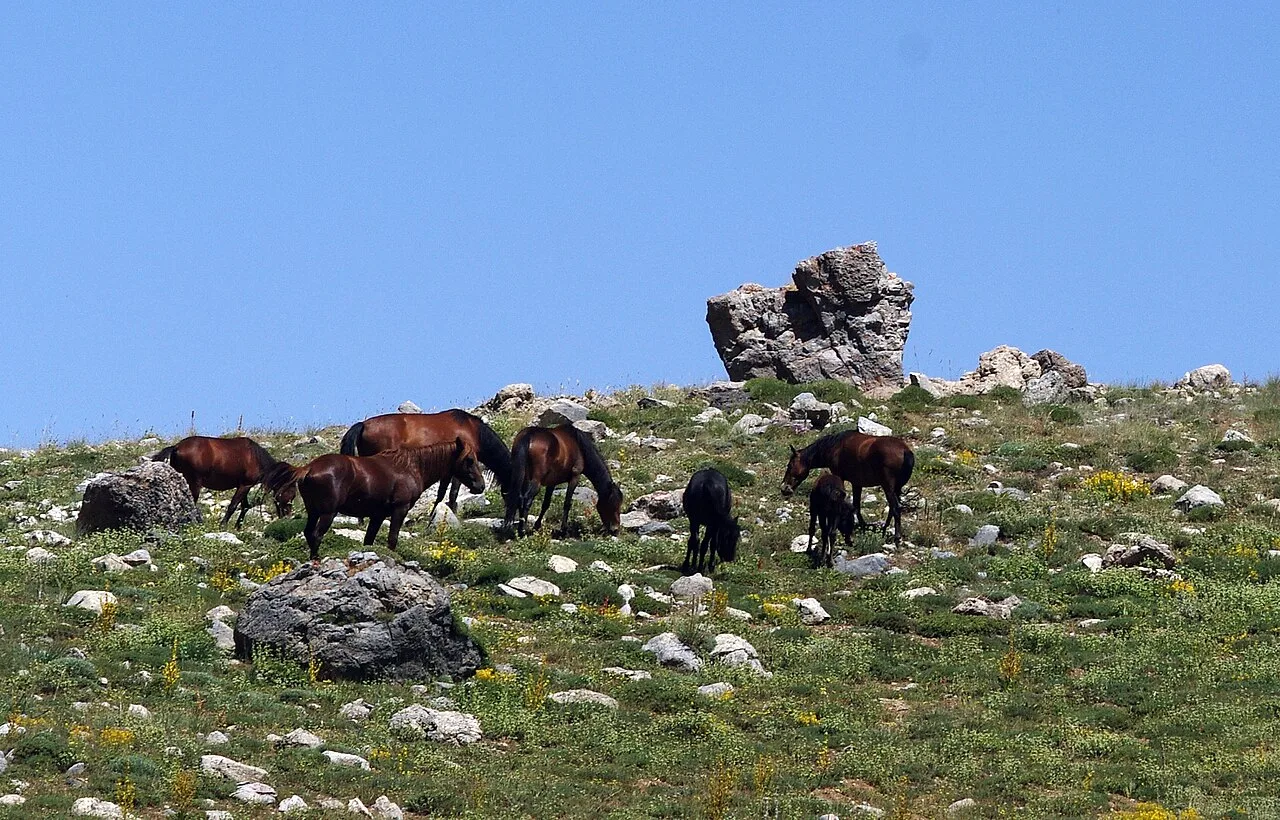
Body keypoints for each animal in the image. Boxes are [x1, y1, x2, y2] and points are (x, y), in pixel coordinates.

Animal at [153, 436, 294, 527]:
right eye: (291, 493)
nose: (287, 516)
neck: (255, 457)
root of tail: (176, 447)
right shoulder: (245, 485)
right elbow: (233, 506)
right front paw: (223, 524)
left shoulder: (243, 486)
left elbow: (245, 506)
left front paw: (238, 526)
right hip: (194, 483)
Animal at [265, 438, 484, 561]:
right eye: (469, 460)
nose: (480, 486)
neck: (410, 466)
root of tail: (308, 468)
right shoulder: (400, 509)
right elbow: (392, 539)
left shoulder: (377, 515)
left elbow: (368, 541)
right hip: (327, 513)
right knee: (316, 535)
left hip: (314, 512)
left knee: (309, 533)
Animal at [339, 410, 513, 517]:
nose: (480, 488)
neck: (472, 430)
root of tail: (363, 424)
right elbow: (453, 492)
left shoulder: (448, 470)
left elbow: (442, 492)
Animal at [782, 430, 915, 543]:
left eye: (790, 465)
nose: (784, 488)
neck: (835, 446)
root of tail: (905, 451)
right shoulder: (857, 484)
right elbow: (856, 506)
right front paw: (862, 527)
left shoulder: (839, 478)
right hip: (896, 488)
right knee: (893, 508)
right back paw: (884, 529)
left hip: (888, 487)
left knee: (896, 508)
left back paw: (897, 537)